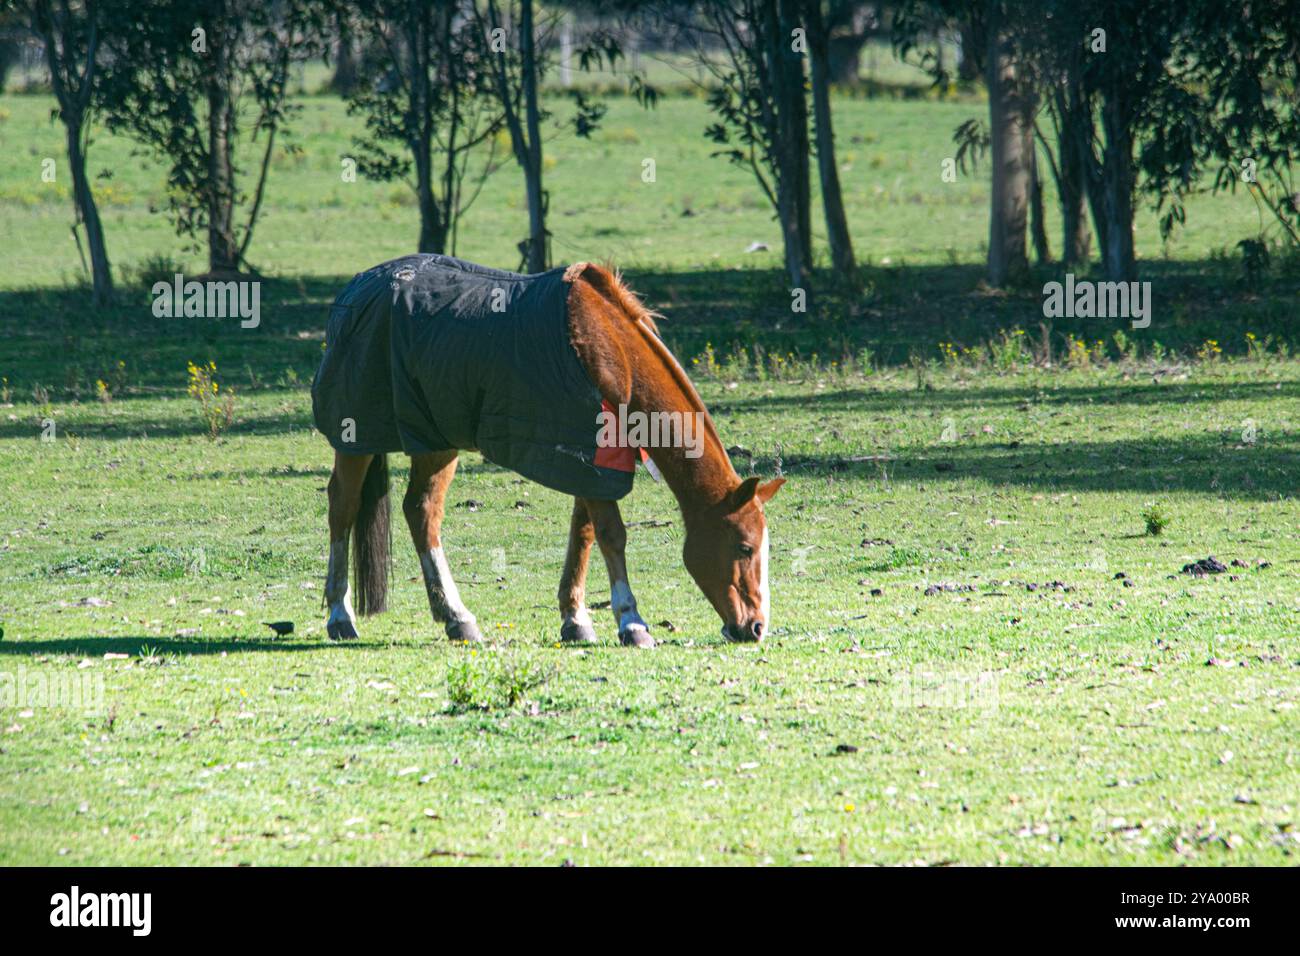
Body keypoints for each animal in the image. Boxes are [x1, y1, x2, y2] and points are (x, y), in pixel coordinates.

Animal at [312, 254, 780, 647]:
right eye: (744, 548)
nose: (757, 627)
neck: (612, 353)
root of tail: (356, 289)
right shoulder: (590, 462)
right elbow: (612, 535)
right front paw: (631, 622)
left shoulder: (589, 463)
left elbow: (583, 534)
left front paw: (576, 619)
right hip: (357, 435)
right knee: (343, 508)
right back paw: (340, 615)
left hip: (435, 438)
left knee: (421, 511)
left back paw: (455, 618)